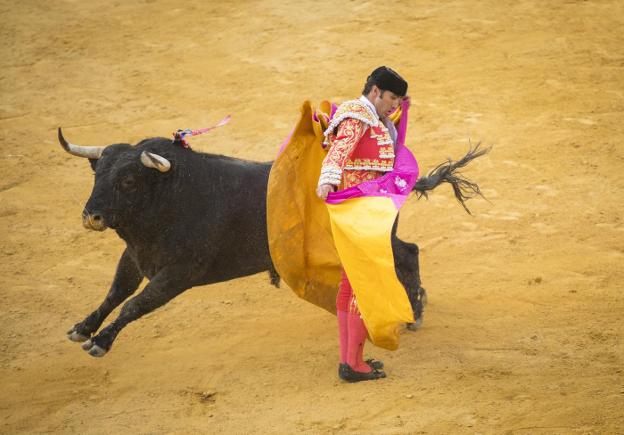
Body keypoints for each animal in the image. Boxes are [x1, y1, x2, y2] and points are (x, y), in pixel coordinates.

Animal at [58, 127, 488, 358]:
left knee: (407, 255)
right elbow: (116, 292)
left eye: (129, 181)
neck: (169, 195)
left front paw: (101, 342)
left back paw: (412, 313)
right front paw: (83, 328)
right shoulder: (135, 256)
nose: (91, 216)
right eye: (97, 174)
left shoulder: (179, 273)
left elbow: (135, 303)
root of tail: (386, 173)